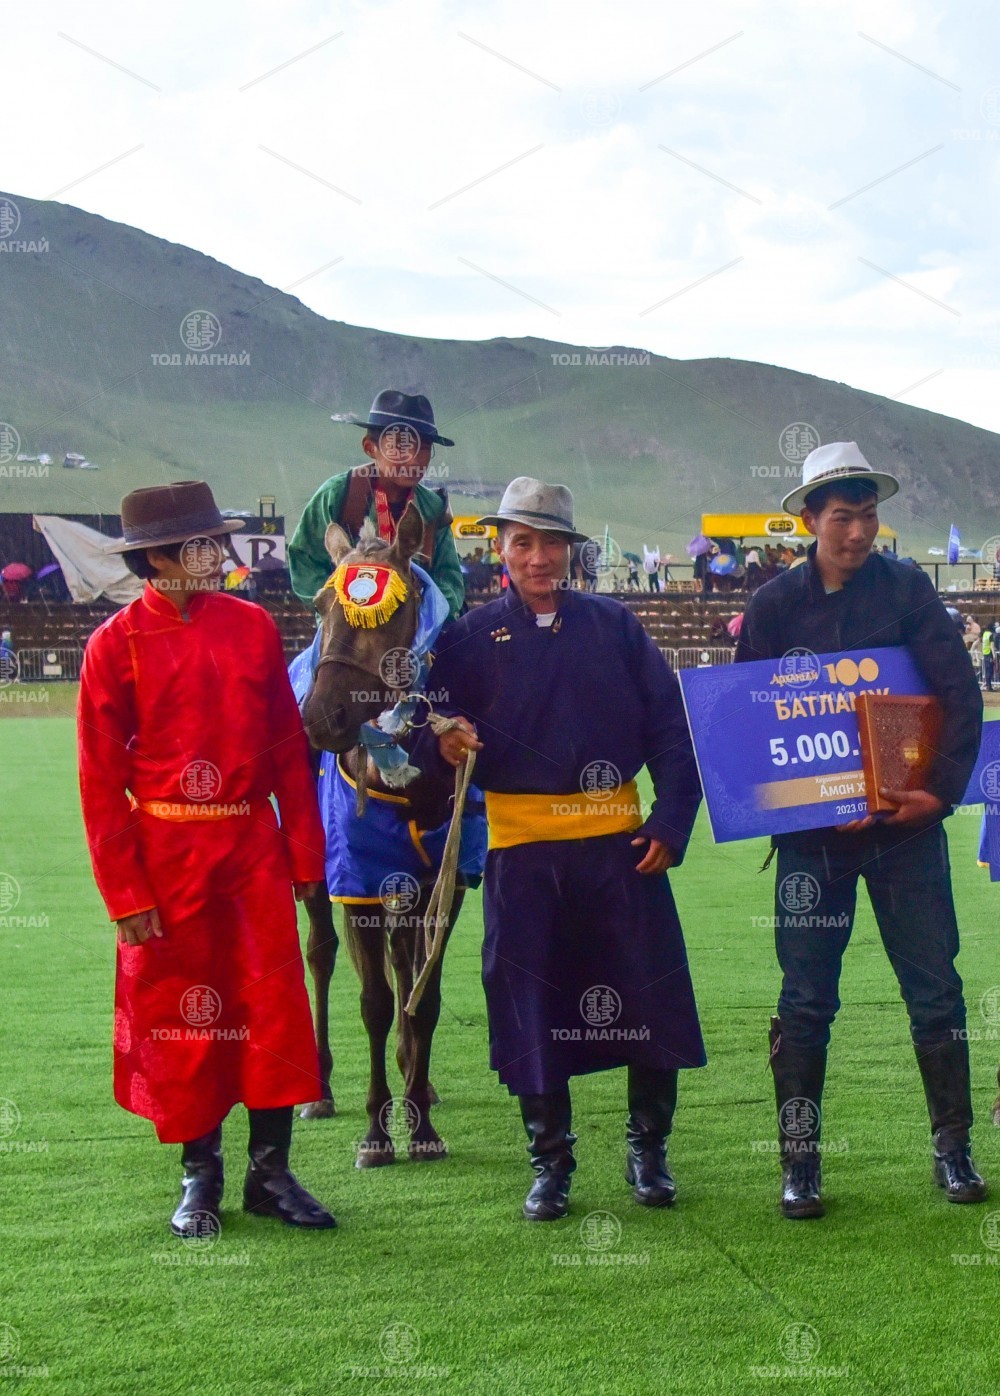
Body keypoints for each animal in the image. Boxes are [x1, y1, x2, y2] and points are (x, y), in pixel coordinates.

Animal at [293, 501, 484, 1166]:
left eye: (392, 611)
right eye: (320, 605)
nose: (321, 717)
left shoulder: (444, 883)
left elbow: (423, 997)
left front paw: (420, 1122)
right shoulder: (357, 882)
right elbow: (373, 1002)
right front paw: (377, 1135)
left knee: (407, 965)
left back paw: (416, 1080)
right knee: (321, 955)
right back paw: (320, 1088)